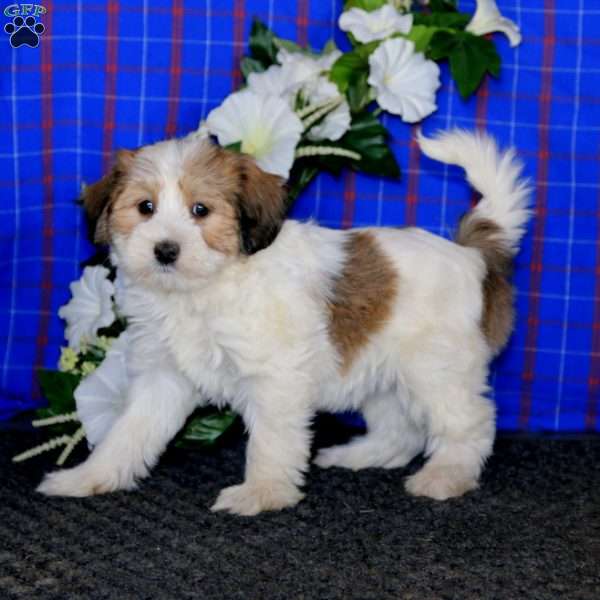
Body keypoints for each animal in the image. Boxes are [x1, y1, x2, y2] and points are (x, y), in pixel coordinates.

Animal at [37, 129, 528, 512]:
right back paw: (359, 455)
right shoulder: (163, 375)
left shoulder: (275, 376)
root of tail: (472, 256)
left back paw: (448, 474)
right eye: (145, 208)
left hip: (435, 367)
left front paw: (262, 492)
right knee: (401, 427)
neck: (205, 289)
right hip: (378, 364)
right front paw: (89, 477)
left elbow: (271, 439)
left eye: (201, 210)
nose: (165, 250)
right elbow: (129, 432)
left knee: (470, 420)